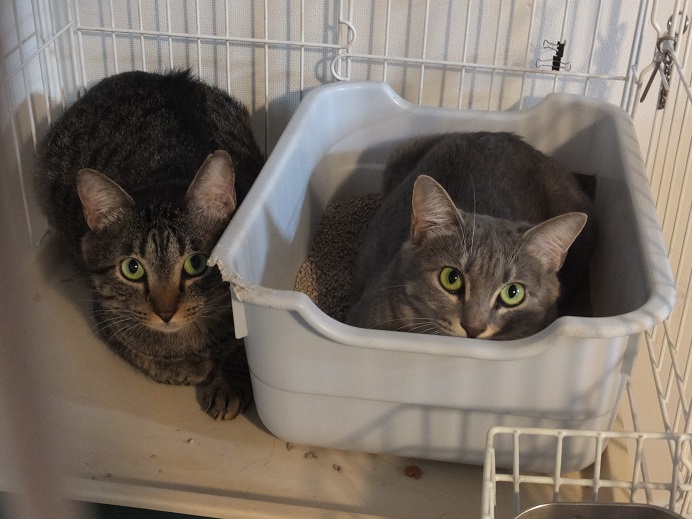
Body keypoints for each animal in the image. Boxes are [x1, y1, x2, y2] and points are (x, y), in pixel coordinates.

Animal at [35, 69, 264, 419]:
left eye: (196, 263)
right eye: (132, 269)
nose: (165, 312)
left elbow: (241, 350)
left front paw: (228, 382)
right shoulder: (105, 314)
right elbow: (144, 352)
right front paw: (190, 365)